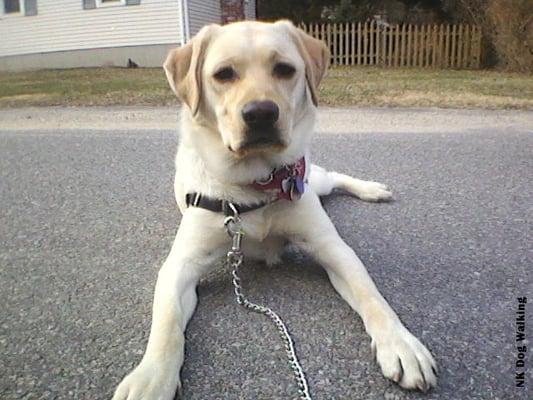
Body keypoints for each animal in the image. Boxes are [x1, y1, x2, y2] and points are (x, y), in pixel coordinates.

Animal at [112, 19, 436, 400]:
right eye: (223, 74)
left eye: (284, 69)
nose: (261, 113)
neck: (255, 181)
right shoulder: (180, 266)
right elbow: (165, 325)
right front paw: (151, 376)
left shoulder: (333, 248)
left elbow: (372, 296)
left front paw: (401, 345)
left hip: (314, 181)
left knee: (334, 176)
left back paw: (371, 190)